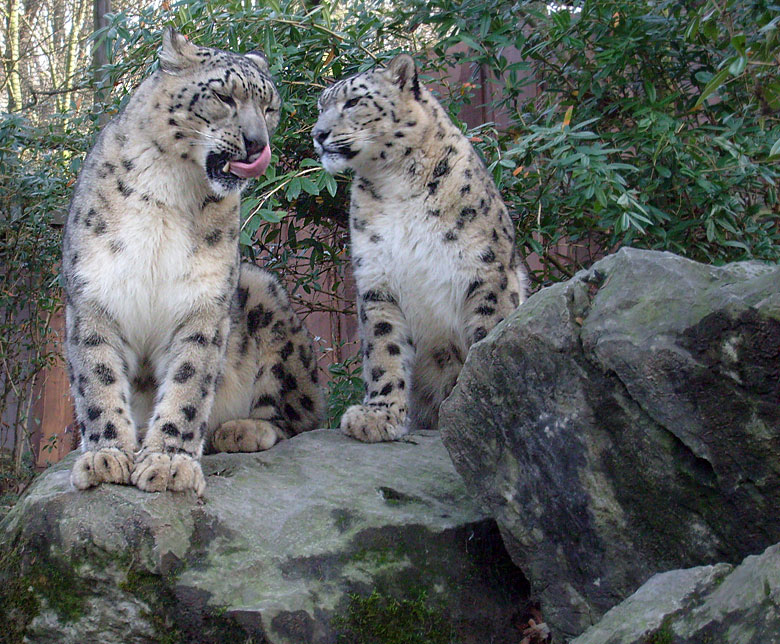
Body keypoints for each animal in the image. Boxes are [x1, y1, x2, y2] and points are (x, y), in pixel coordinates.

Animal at [61, 27, 326, 496]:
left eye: (270, 107)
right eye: (223, 95)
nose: (257, 144)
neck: (170, 190)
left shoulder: (203, 299)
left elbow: (188, 382)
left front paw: (168, 463)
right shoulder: (95, 292)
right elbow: (98, 377)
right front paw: (105, 456)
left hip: (262, 294)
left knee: (302, 414)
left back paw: (241, 429)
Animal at [314, 54, 528, 442]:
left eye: (353, 101)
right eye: (321, 106)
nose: (318, 134)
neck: (396, 183)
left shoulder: (488, 271)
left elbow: (489, 334)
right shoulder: (377, 279)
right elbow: (384, 349)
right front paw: (379, 415)